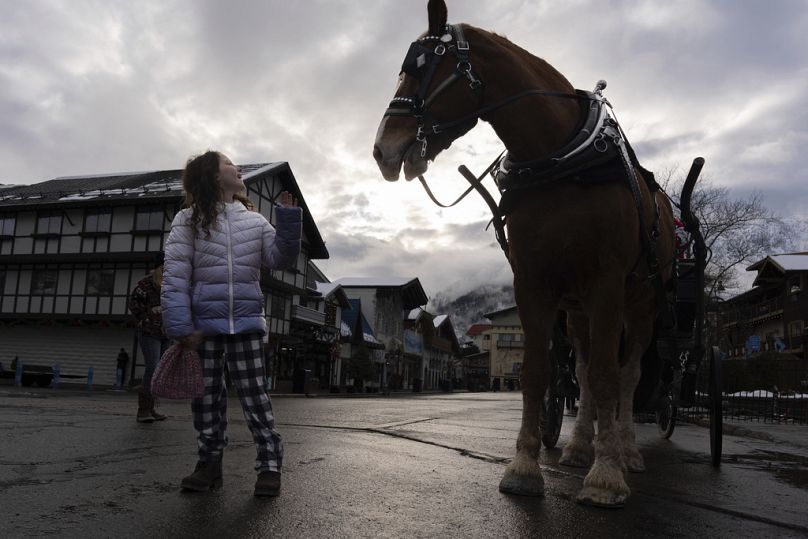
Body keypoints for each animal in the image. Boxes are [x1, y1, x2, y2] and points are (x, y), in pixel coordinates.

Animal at [372, 0, 676, 508]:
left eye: (420, 70)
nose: (382, 150)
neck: (560, 160)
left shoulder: (608, 283)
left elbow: (611, 377)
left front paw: (606, 475)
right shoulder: (533, 283)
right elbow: (537, 373)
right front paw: (525, 467)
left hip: (642, 304)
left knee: (628, 375)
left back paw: (627, 450)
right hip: (578, 311)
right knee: (585, 371)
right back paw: (579, 447)